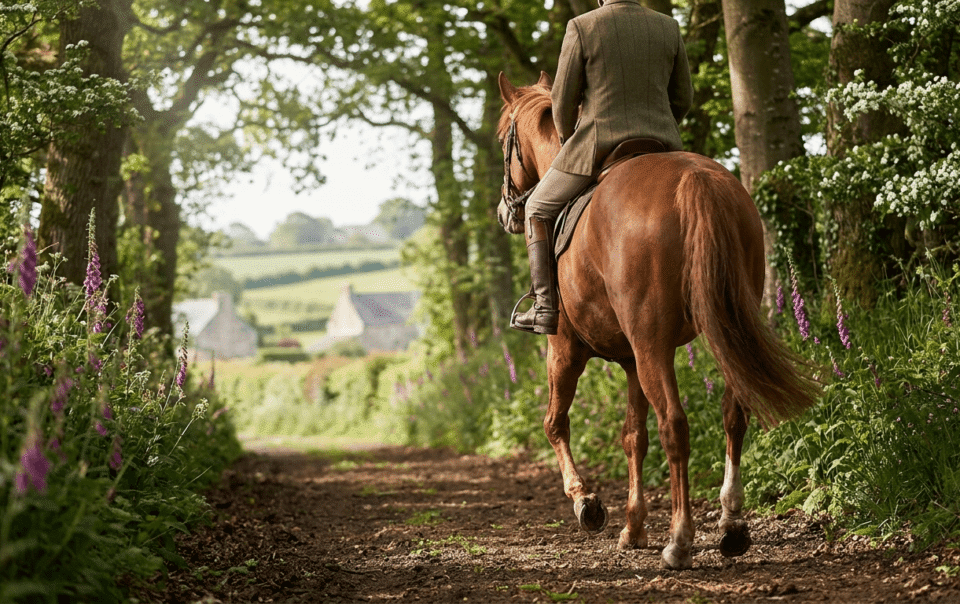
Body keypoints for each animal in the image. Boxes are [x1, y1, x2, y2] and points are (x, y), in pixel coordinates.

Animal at [496, 72, 820, 570]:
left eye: (501, 141)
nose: (504, 212)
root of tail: (695, 179)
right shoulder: (631, 360)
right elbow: (634, 436)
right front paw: (632, 527)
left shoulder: (565, 349)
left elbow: (555, 423)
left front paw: (586, 503)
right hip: (719, 330)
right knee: (733, 413)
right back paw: (730, 525)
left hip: (652, 346)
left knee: (675, 425)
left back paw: (680, 540)